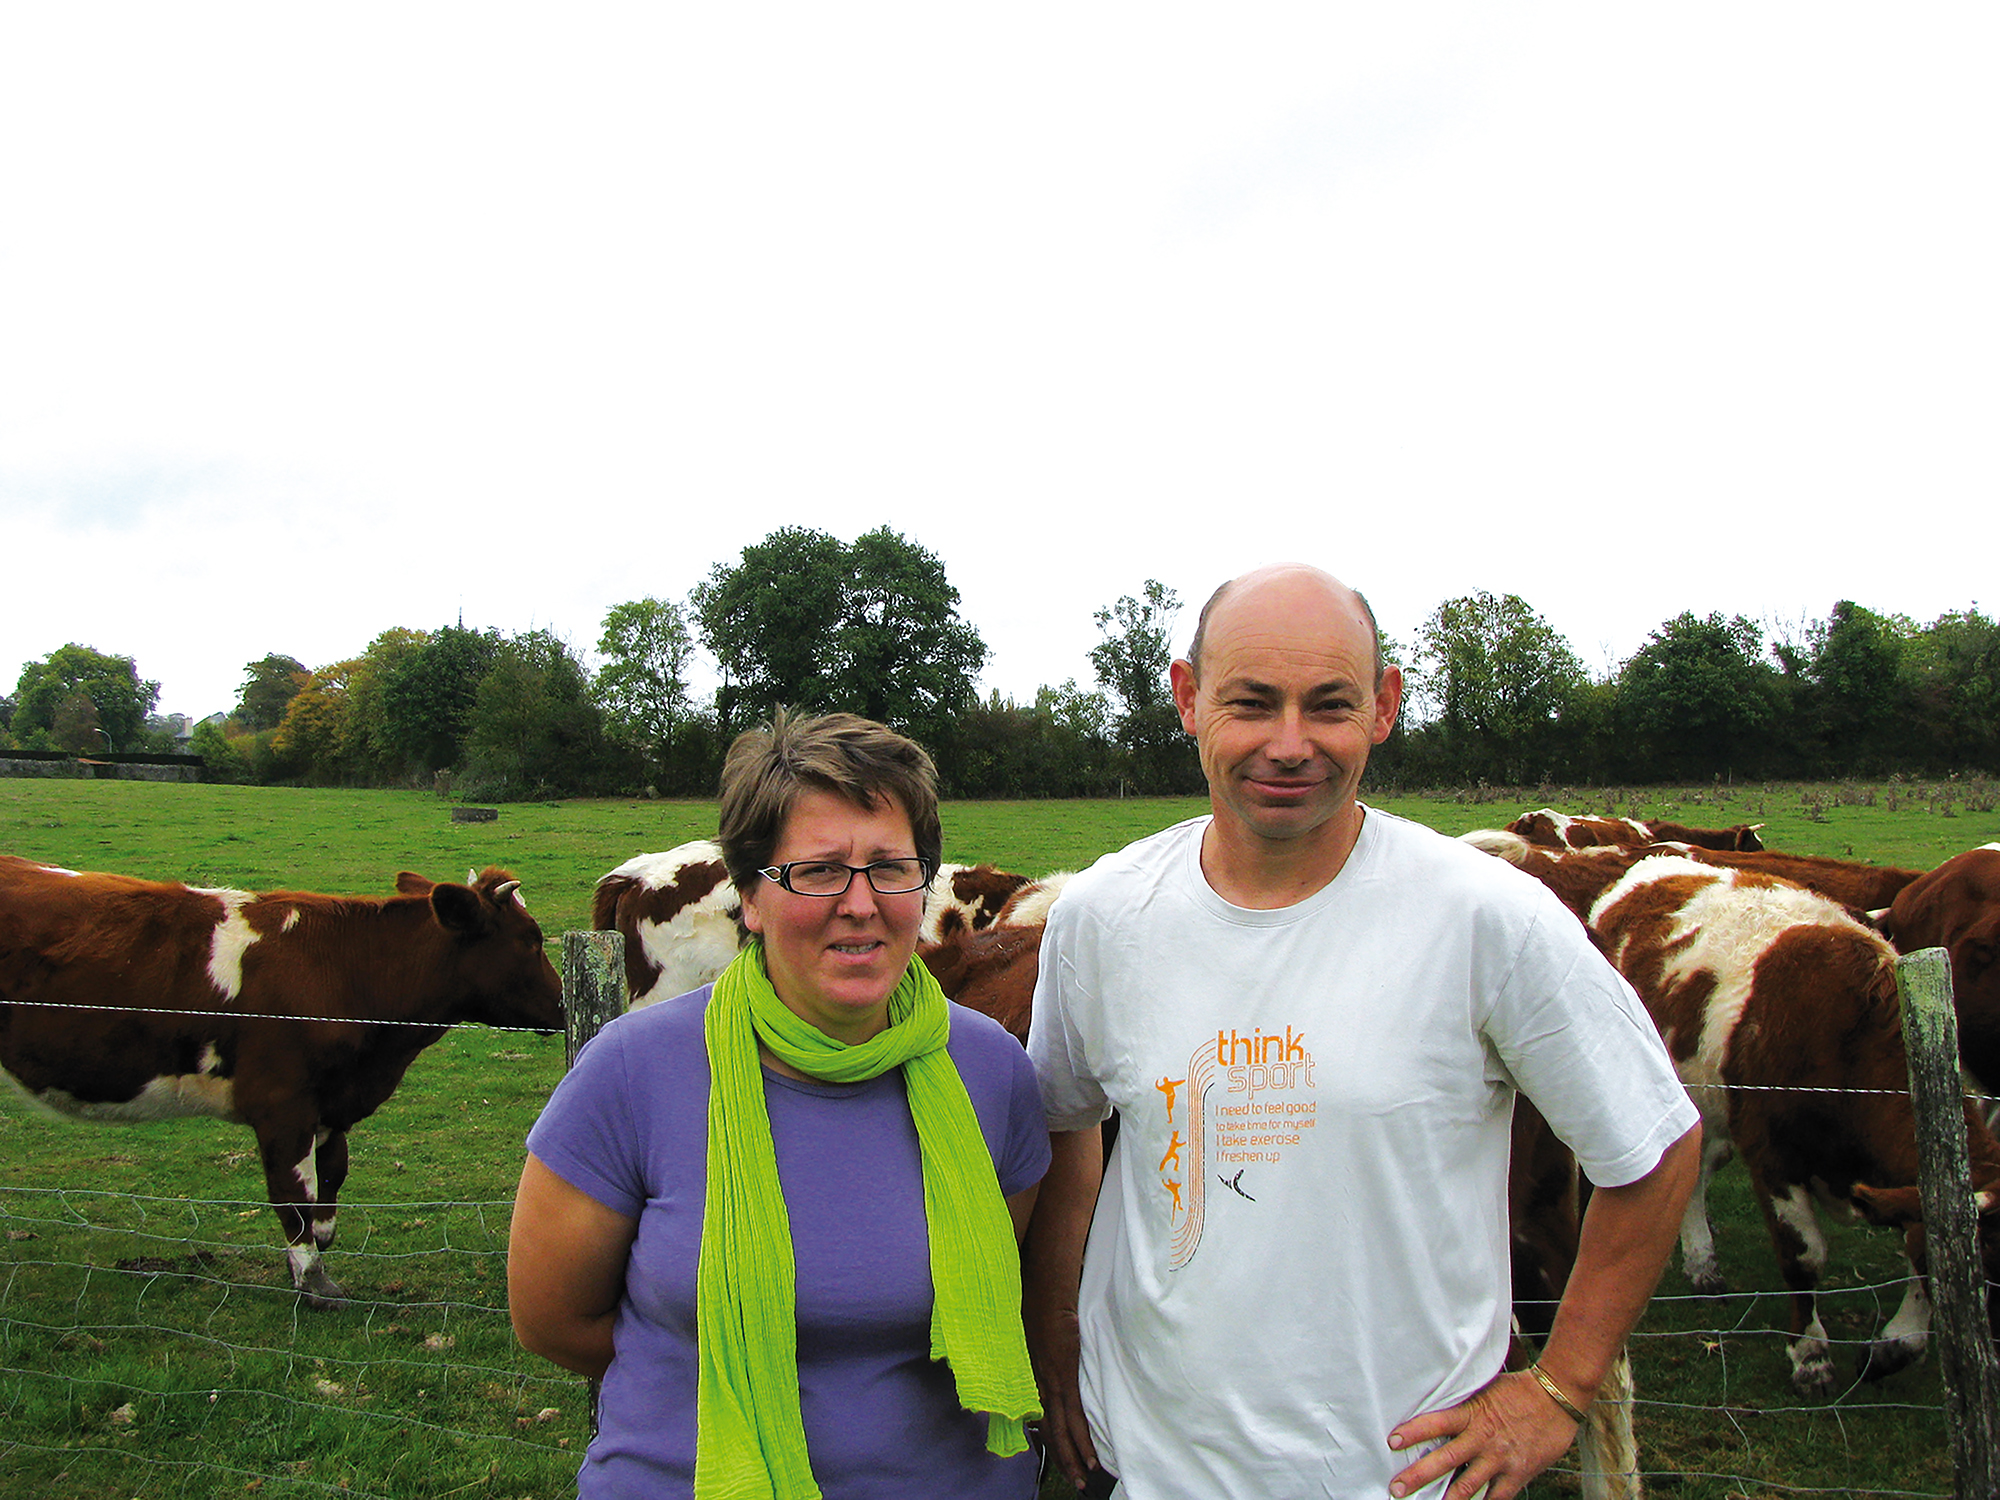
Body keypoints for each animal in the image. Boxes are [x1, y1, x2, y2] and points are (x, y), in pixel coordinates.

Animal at [0, 864, 564, 1312]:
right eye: (531, 939)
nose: (561, 1008)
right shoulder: (282, 1104)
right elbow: (295, 1194)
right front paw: (315, 1284)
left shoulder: (329, 1106)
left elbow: (330, 1180)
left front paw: (313, 1255)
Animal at [1584, 856, 1992, 1400]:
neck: (1850, 1037)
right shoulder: (1773, 1156)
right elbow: (1805, 1256)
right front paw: (1811, 1356)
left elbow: (1919, 1252)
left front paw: (1894, 1347)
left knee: (1696, 1171)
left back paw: (1702, 1263)